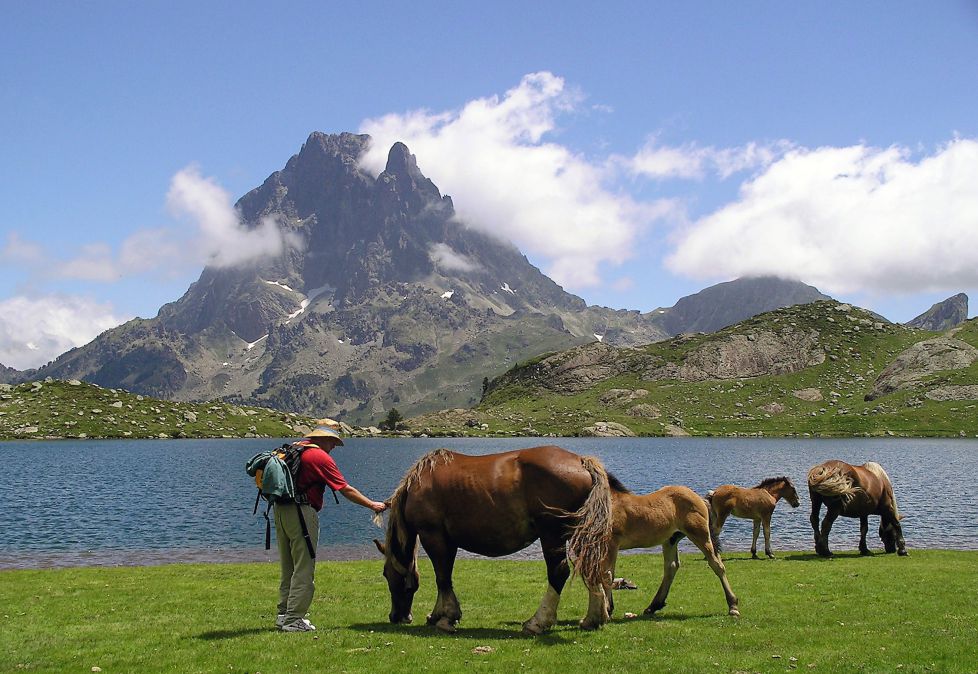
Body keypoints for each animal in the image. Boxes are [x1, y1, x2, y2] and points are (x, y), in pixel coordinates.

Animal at [375, 445, 614, 634]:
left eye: (386, 574)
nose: (396, 616)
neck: (419, 483)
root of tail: (582, 462)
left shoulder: (432, 535)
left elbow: (442, 577)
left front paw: (447, 617)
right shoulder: (448, 541)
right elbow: (445, 577)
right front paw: (437, 615)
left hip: (552, 535)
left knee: (558, 573)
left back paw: (538, 622)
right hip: (580, 535)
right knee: (590, 568)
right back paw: (593, 618)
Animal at [568, 481, 740, 629]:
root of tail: (701, 499)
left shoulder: (611, 545)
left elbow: (607, 575)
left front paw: (607, 610)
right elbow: (607, 574)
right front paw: (606, 610)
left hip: (700, 535)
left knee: (717, 565)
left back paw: (733, 606)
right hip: (670, 540)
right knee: (672, 566)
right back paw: (653, 606)